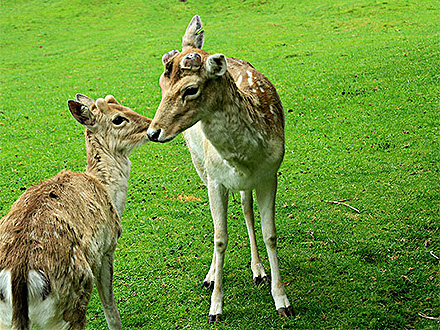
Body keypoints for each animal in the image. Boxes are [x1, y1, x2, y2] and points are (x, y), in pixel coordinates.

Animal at [0, 94, 151, 328]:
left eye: (118, 101)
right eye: (118, 118)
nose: (152, 125)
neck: (109, 191)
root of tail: (17, 275)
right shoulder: (106, 249)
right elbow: (110, 305)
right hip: (73, 300)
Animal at [148, 15, 296, 322]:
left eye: (190, 89)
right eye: (161, 85)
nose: (153, 132)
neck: (245, 157)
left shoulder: (270, 173)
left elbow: (270, 234)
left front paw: (283, 301)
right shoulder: (216, 180)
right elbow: (220, 238)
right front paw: (215, 307)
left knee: (247, 209)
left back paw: (258, 270)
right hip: (199, 163)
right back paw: (211, 276)